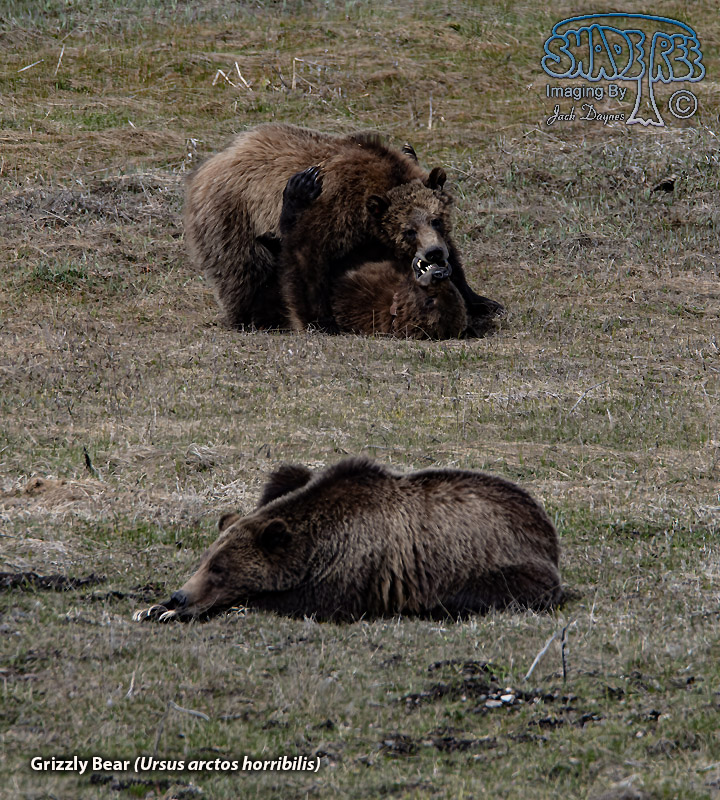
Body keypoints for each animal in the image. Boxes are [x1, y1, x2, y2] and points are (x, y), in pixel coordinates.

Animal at [132, 457, 563, 623]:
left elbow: (303, 603)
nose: (179, 596)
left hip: (495, 564)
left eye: (219, 569)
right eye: (204, 561)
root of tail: (545, 525)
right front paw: (152, 608)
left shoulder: (354, 567)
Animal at [183, 123, 503, 333]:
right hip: (232, 216)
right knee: (244, 270)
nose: (434, 253)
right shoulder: (335, 209)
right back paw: (250, 317)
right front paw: (320, 321)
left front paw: (482, 300)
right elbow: (306, 256)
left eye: (436, 219)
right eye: (408, 230)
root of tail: (212, 163)